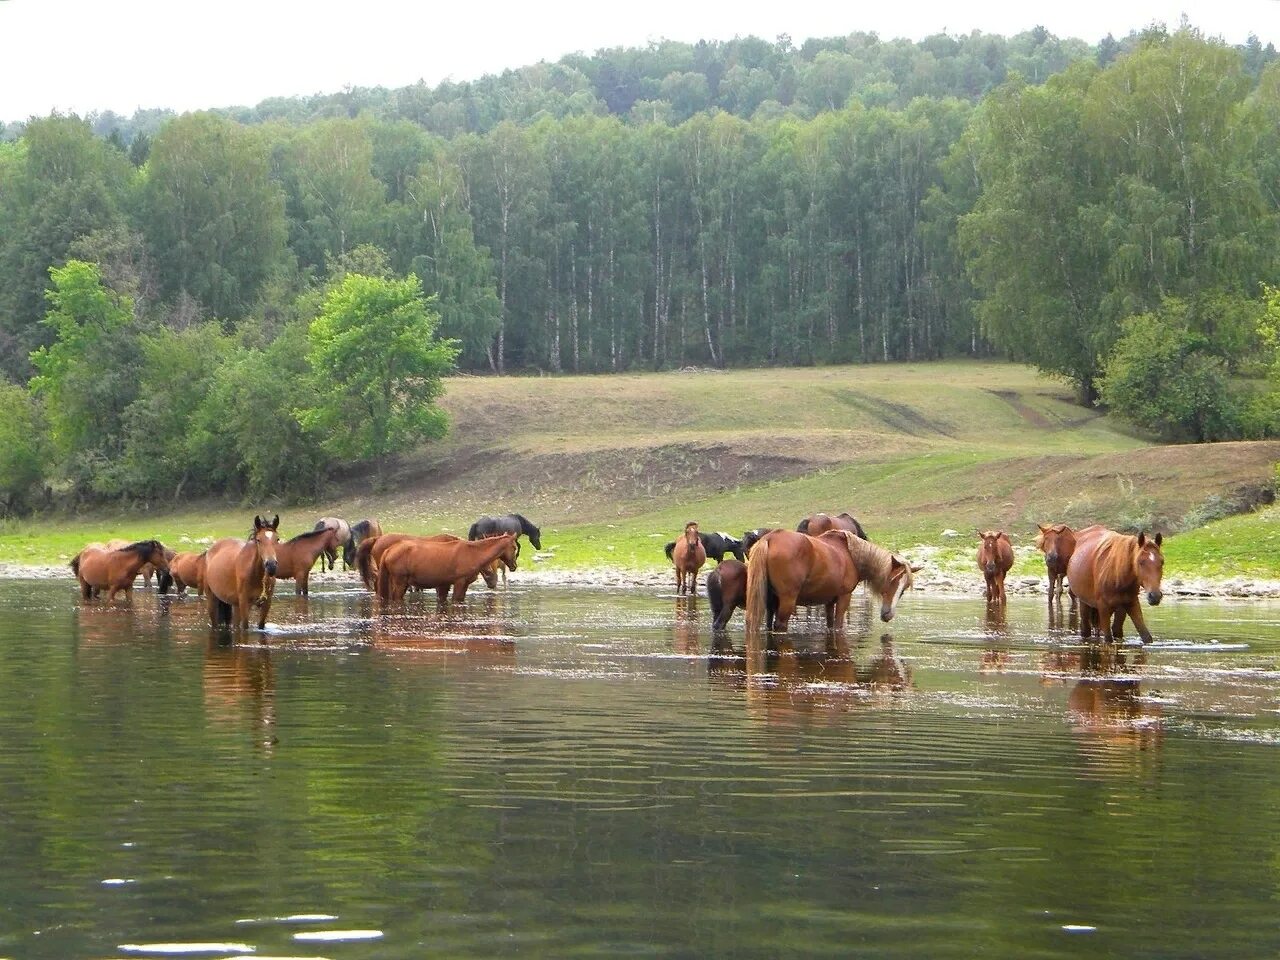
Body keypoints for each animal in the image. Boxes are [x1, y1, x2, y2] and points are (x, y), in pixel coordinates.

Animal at [373, 529, 519, 604]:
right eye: (514, 547)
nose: (514, 566)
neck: (473, 554)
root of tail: (389, 550)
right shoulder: (459, 582)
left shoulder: (447, 585)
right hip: (400, 582)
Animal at [742, 529, 921, 634]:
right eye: (892, 580)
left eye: (905, 587)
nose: (888, 615)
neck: (852, 555)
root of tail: (770, 538)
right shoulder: (844, 597)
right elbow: (838, 625)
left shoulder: (829, 601)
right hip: (787, 600)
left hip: (770, 601)